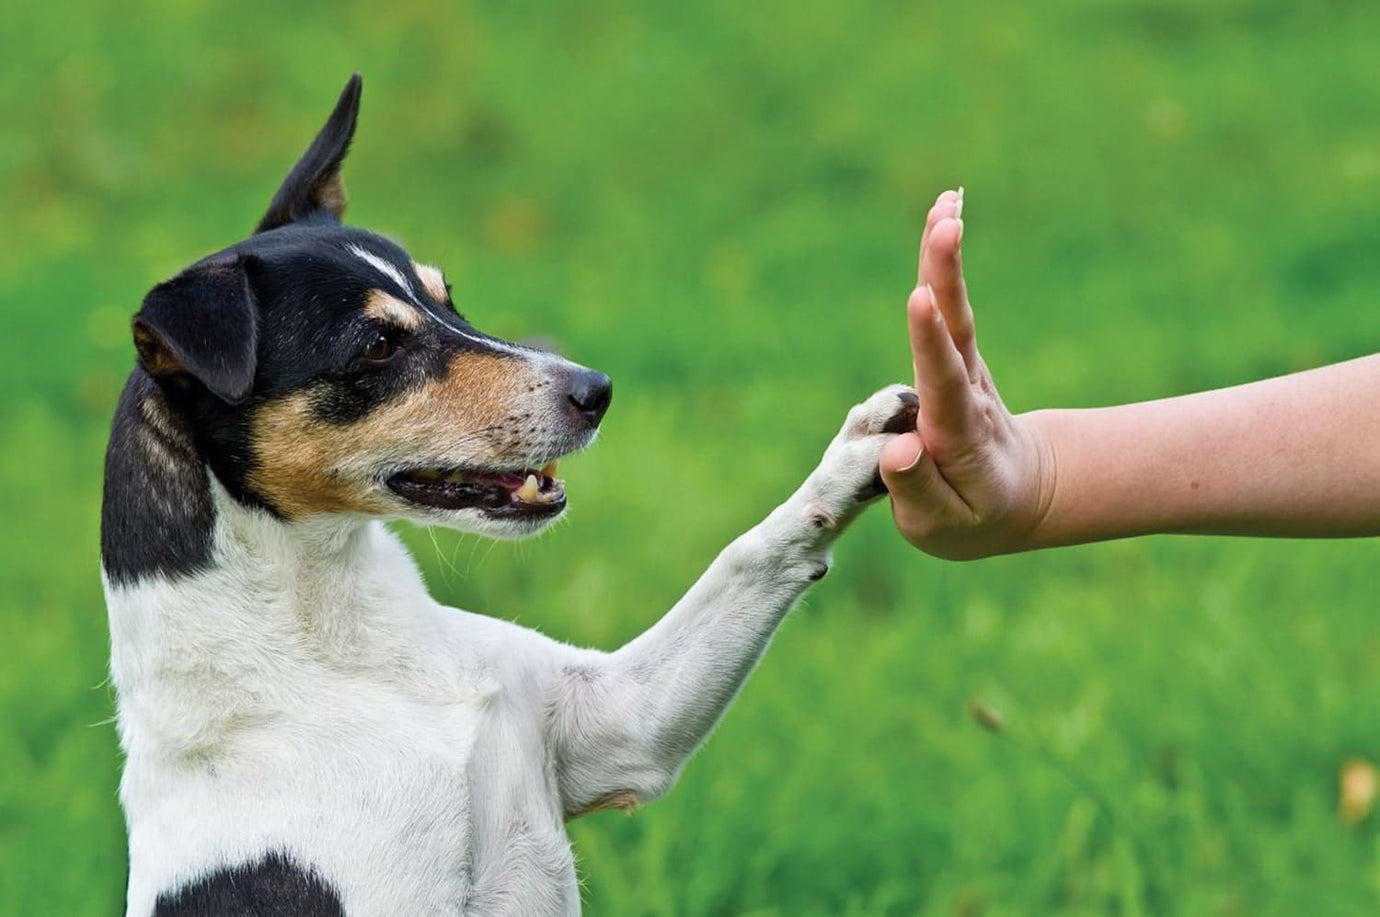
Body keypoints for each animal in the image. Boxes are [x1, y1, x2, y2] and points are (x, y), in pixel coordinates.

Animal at [104, 75, 916, 911]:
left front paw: (861, 450)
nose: (597, 390)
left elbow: (749, 554)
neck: (343, 648)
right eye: (378, 344)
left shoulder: (621, 723)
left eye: (447, 297)